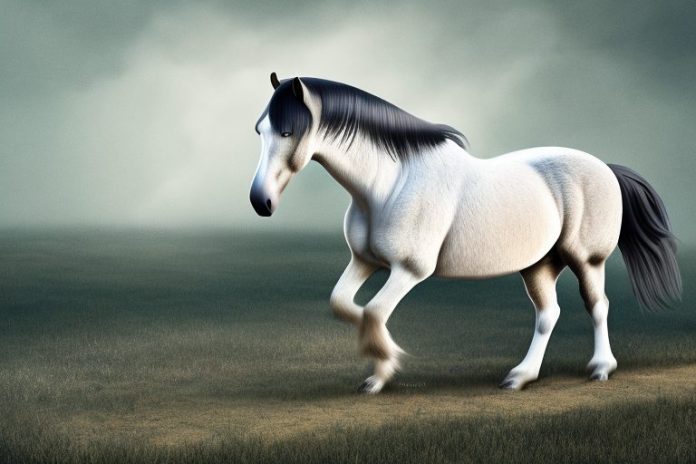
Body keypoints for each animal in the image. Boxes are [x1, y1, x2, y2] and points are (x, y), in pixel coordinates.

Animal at [250, 73, 682, 394]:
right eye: (260, 130)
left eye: (288, 132)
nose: (260, 202)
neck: (388, 184)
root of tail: (605, 167)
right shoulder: (364, 262)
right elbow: (343, 305)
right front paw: (382, 360)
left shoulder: (409, 270)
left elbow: (372, 311)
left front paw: (385, 367)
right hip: (539, 265)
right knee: (548, 315)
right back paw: (519, 377)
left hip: (587, 260)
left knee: (597, 306)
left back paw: (600, 368)